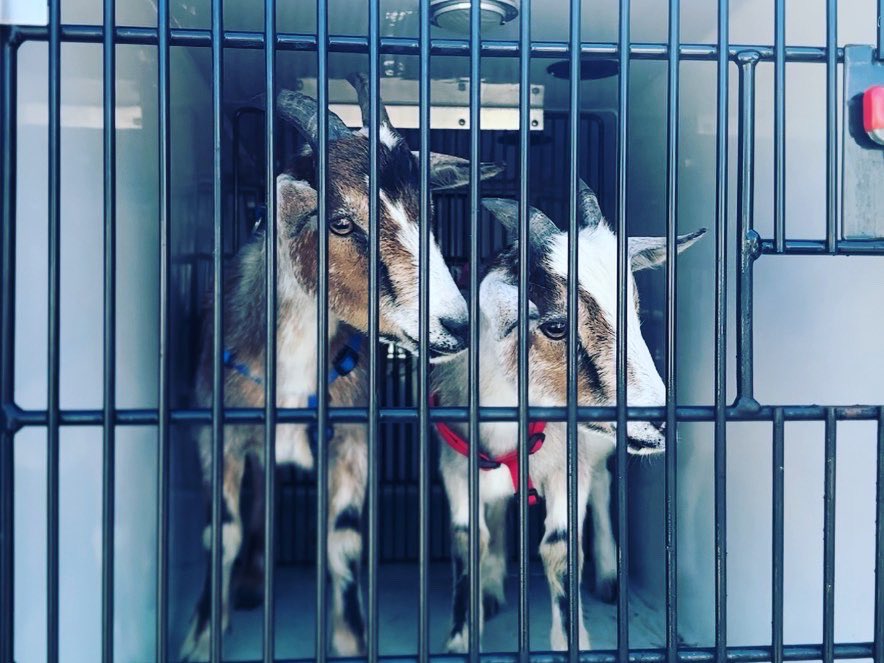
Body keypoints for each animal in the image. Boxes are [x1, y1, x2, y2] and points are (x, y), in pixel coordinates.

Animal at [180, 74, 504, 660]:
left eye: (431, 214)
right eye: (340, 220)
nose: (457, 324)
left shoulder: (353, 442)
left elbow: (344, 541)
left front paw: (351, 639)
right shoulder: (219, 437)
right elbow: (223, 532)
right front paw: (200, 636)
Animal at [432, 183, 704, 652]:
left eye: (634, 310)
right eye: (556, 326)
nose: (658, 419)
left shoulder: (568, 466)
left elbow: (561, 548)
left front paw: (571, 641)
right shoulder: (455, 465)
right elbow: (469, 541)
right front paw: (462, 637)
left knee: (603, 486)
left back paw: (610, 576)